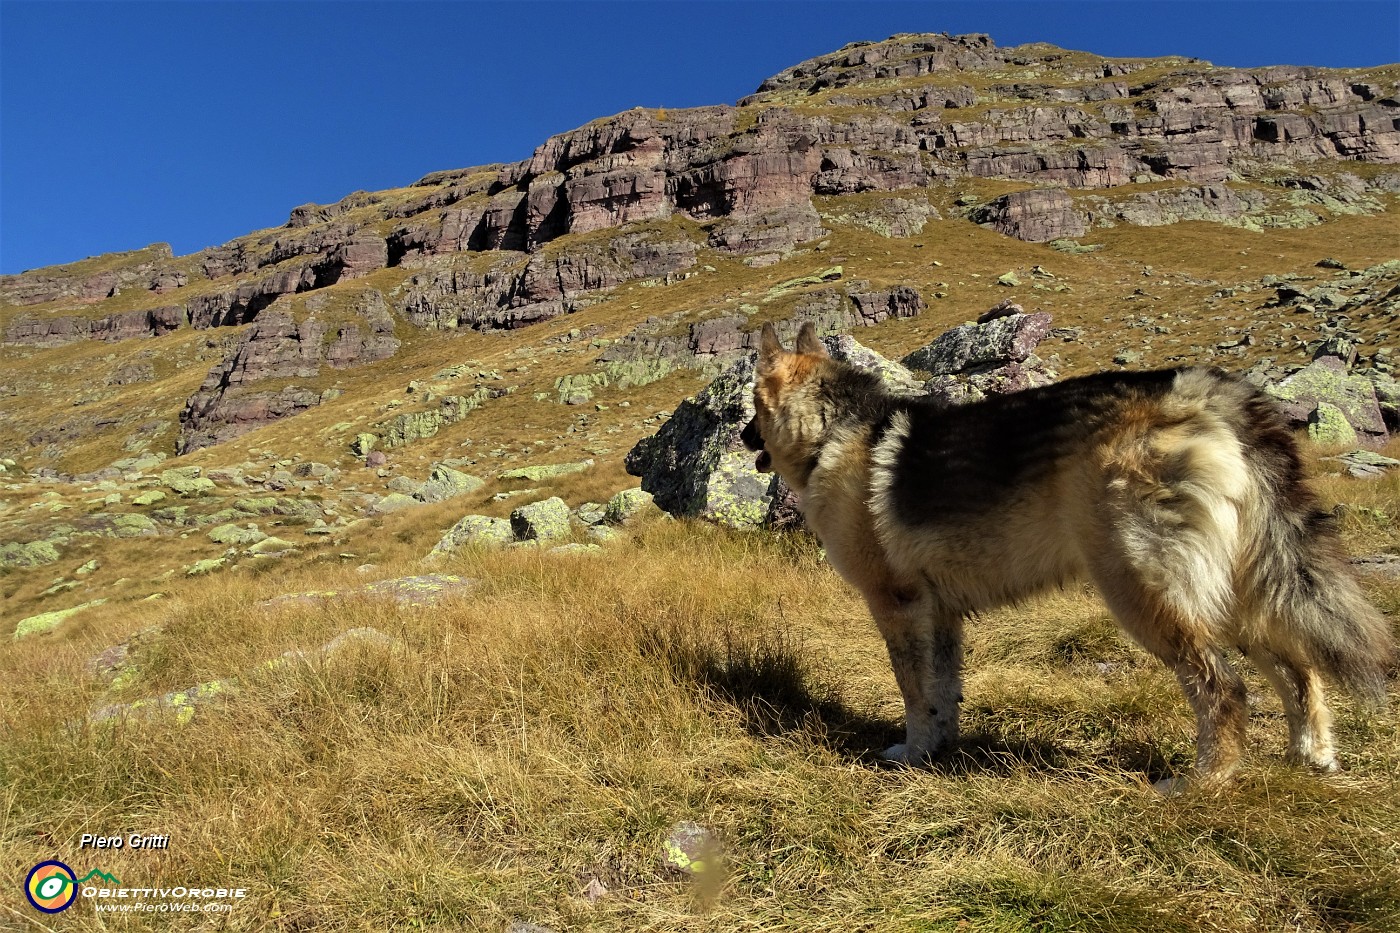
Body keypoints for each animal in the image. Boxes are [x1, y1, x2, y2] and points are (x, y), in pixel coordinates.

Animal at [744, 319, 1388, 778]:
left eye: (751, 404)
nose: (746, 436)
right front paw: (940, 753)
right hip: (1230, 592)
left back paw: (1201, 784)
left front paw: (912, 752)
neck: (832, 431)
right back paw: (1309, 760)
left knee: (1225, 691)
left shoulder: (897, 606)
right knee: (1301, 670)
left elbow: (914, 691)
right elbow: (945, 691)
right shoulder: (941, 614)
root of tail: (1200, 391)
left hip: (1144, 594)